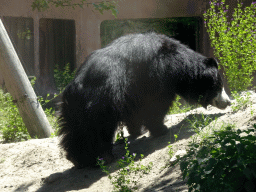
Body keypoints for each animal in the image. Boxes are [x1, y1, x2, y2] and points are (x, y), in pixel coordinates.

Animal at [59, 31, 231, 168]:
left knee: (75, 131)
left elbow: (134, 113)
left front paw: (137, 131)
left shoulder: (132, 93)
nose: (228, 102)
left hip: (74, 110)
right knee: (98, 129)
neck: (176, 63)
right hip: (102, 103)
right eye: (219, 86)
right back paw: (103, 157)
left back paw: (79, 159)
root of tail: (76, 86)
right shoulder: (156, 76)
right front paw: (161, 129)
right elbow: (156, 105)